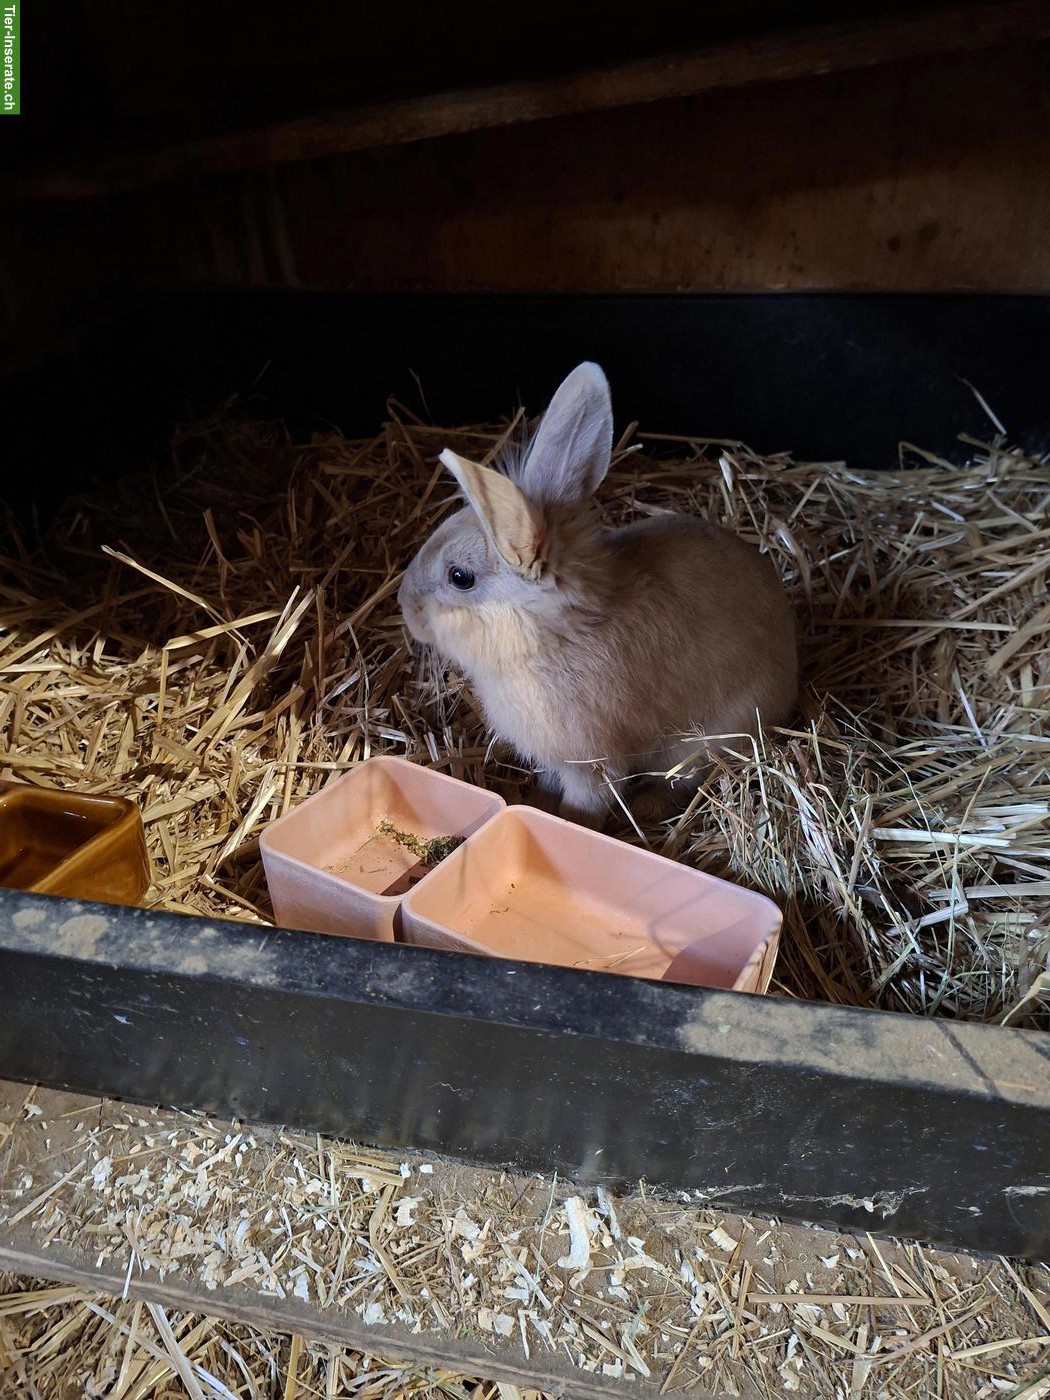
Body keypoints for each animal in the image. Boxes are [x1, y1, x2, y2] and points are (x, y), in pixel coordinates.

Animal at [398, 362, 798, 827]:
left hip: (703, 744)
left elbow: (586, 803)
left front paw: (569, 821)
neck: (551, 639)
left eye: (460, 577)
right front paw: (537, 798)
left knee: (682, 781)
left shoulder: (591, 764)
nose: (405, 607)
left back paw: (643, 809)